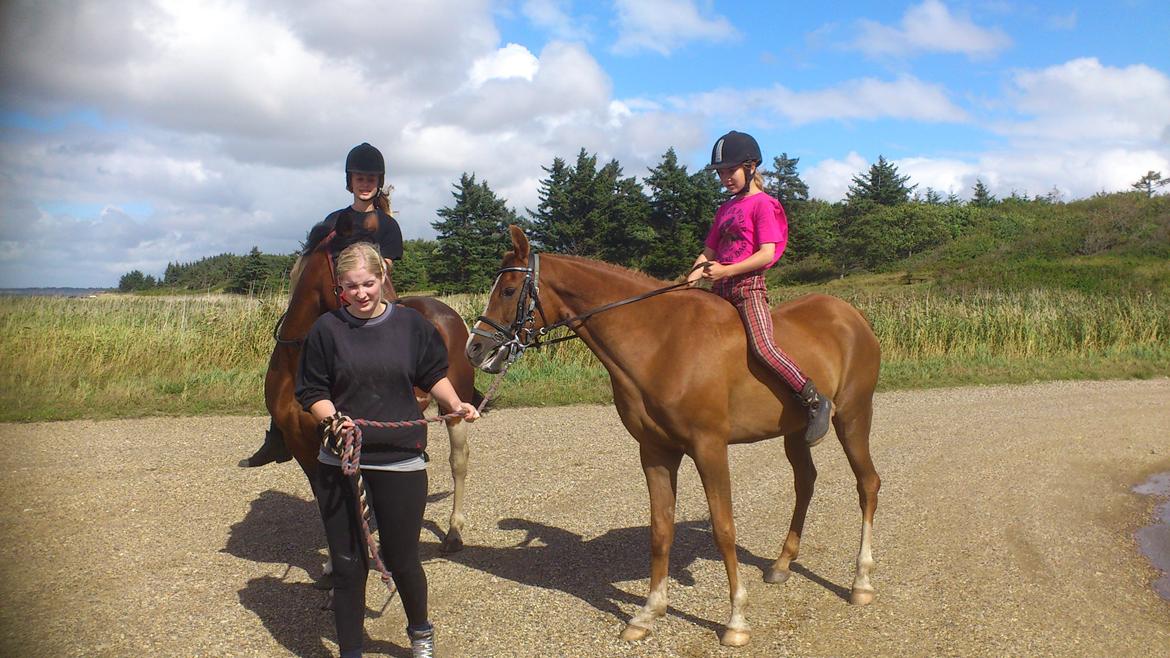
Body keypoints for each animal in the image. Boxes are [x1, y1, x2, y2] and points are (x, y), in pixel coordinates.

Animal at [267, 208, 477, 547]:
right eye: (347, 263)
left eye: (384, 267)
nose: (385, 310)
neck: (297, 362)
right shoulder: (306, 447)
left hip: (453, 406)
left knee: (458, 461)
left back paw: (454, 531)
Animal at [463, 224, 879, 646]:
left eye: (509, 290)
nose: (475, 348)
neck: (661, 342)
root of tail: (851, 316)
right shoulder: (655, 451)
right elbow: (661, 530)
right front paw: (649, 613)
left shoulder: (710, 448)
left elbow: (723, 528)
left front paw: (736, 620)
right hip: (795, 433)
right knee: (805, 483)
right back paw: (782, 564)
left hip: (854, 417)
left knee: (867, 484)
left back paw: (860, 581)